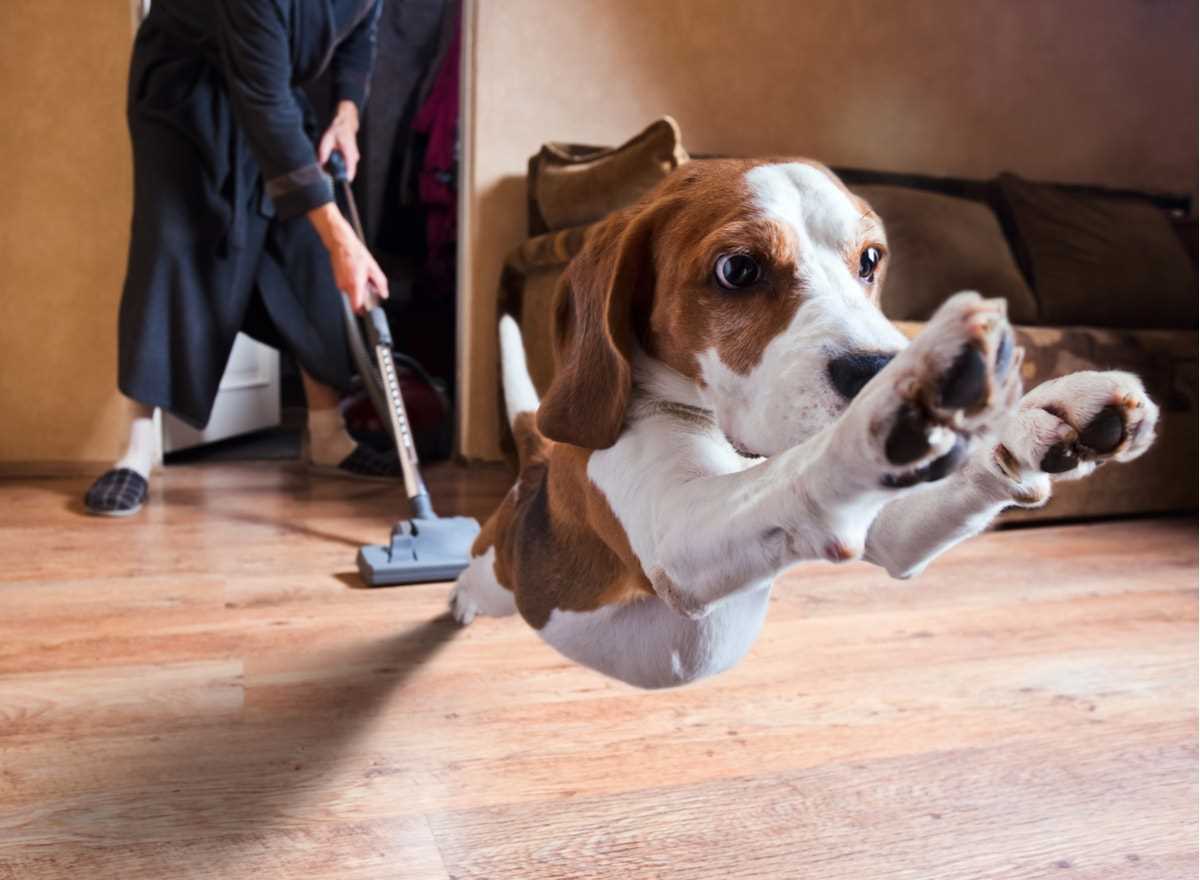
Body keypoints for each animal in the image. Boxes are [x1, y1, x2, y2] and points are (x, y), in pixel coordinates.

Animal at [448, 160, 1152, 691]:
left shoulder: (887, 529)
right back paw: (456, 600)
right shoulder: (678, 531)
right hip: (499, 573)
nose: (879, 366)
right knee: (475, 575)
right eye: (738, 269)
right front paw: (895, 407)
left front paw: (1039, 416)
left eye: (870, 259)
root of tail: (535, 470)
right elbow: (804, 467)